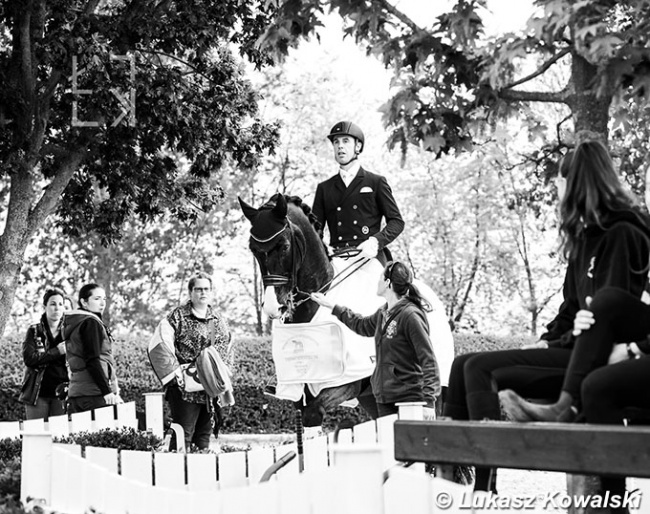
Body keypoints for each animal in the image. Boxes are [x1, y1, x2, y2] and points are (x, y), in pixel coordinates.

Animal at [238, 192, 374, 424]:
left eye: (284, 246)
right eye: (253, 250)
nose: (274, 306)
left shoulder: (341, 385)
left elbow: (314, 413)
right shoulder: (299, 394)